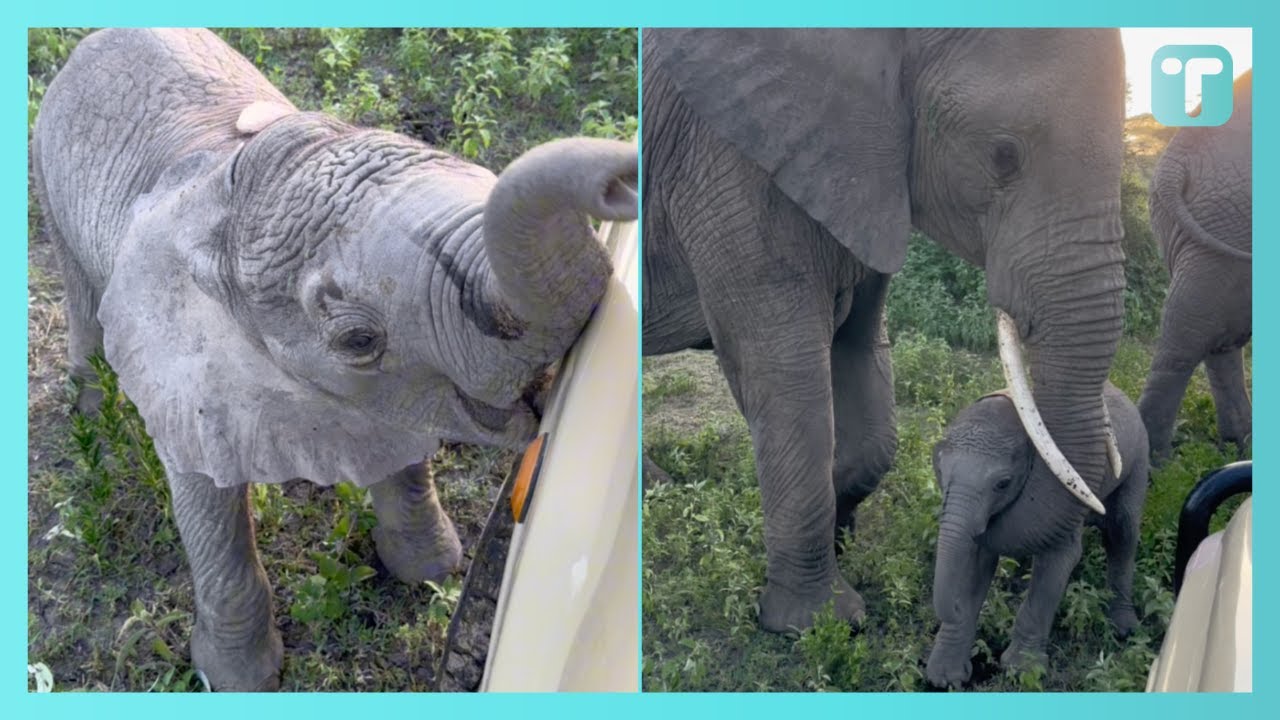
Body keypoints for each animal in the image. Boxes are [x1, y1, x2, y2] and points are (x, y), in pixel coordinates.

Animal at [30, 28, 637, 691]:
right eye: (357, 340)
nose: (625, 182)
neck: (224, 186)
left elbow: (397, 444)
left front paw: (430, 571)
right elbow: (206, 499)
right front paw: (239, 680)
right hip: (47, 169)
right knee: (82, 294)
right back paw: (93, 414)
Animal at [642, 29, 1127, 633]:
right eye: (1003, 155)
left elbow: (860, 350)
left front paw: (841, 533)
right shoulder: (725, 165)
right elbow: (781, 372)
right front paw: (817, 622)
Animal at [926, 382, 1149, 688]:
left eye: (1002, 484)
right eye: (938, 471)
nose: (954, 609)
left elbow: (1057, 563)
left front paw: (1022, 671)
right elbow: (974, 560)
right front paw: (945, 680)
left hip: (1137, 457)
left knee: (1122, 531)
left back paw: (1124, 629)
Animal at [1138, 71, 1252, 464]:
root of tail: (1177, 158)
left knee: (1216, 332)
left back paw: (1237, 446)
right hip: (1227, 217)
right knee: (1191, 333)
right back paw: (1157, 465)